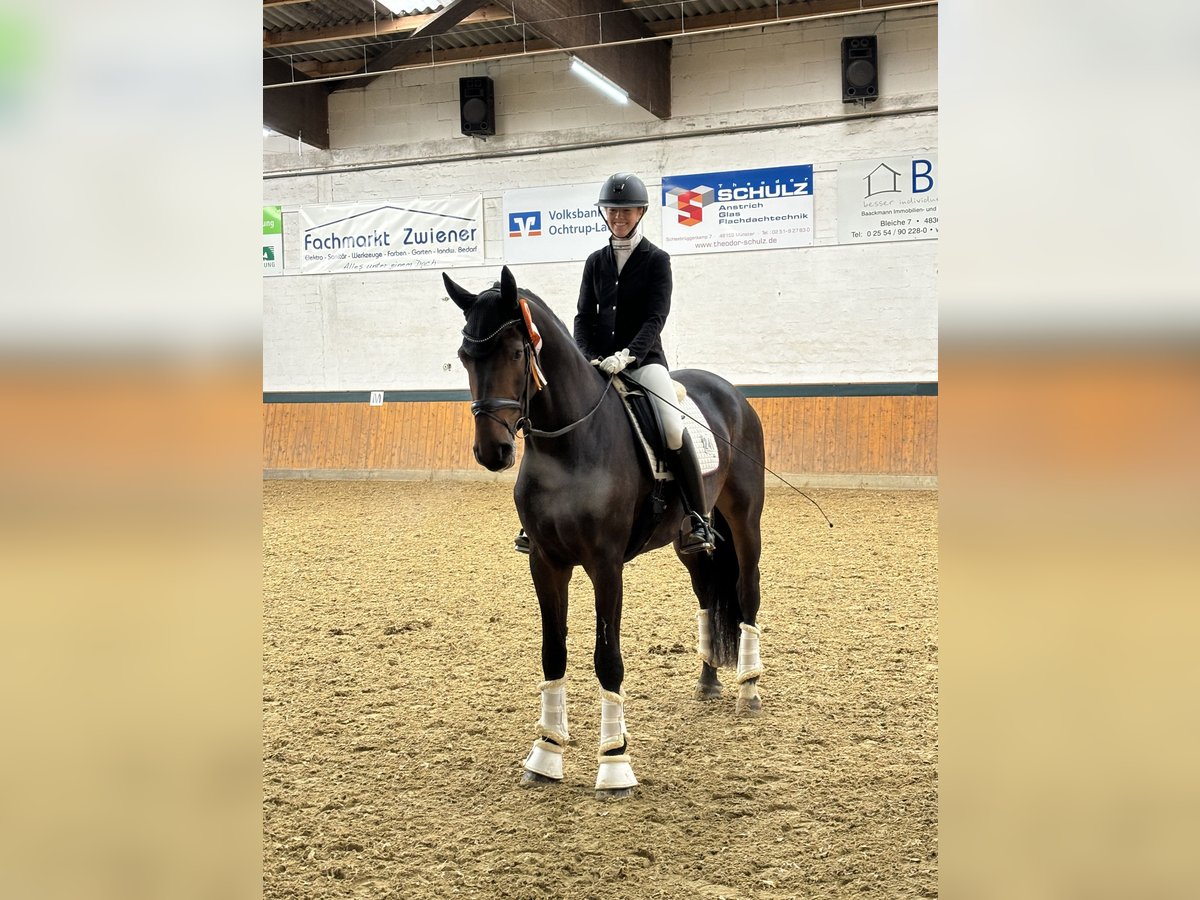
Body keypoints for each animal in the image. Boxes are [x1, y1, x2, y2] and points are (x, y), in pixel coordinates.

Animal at [446, 264, 763, 801]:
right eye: (466, 357)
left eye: (516, 353)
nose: (492, 452)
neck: (568, 446)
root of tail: (729, 391)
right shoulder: (546, 561)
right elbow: (553, 653)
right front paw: (545, 754)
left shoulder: (605, 565)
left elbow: (607, 658)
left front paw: (615, 764)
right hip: (688, 541)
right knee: (707, 592)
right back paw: (707, 682)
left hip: (744, 519)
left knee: (746, 592)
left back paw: (749, 688)